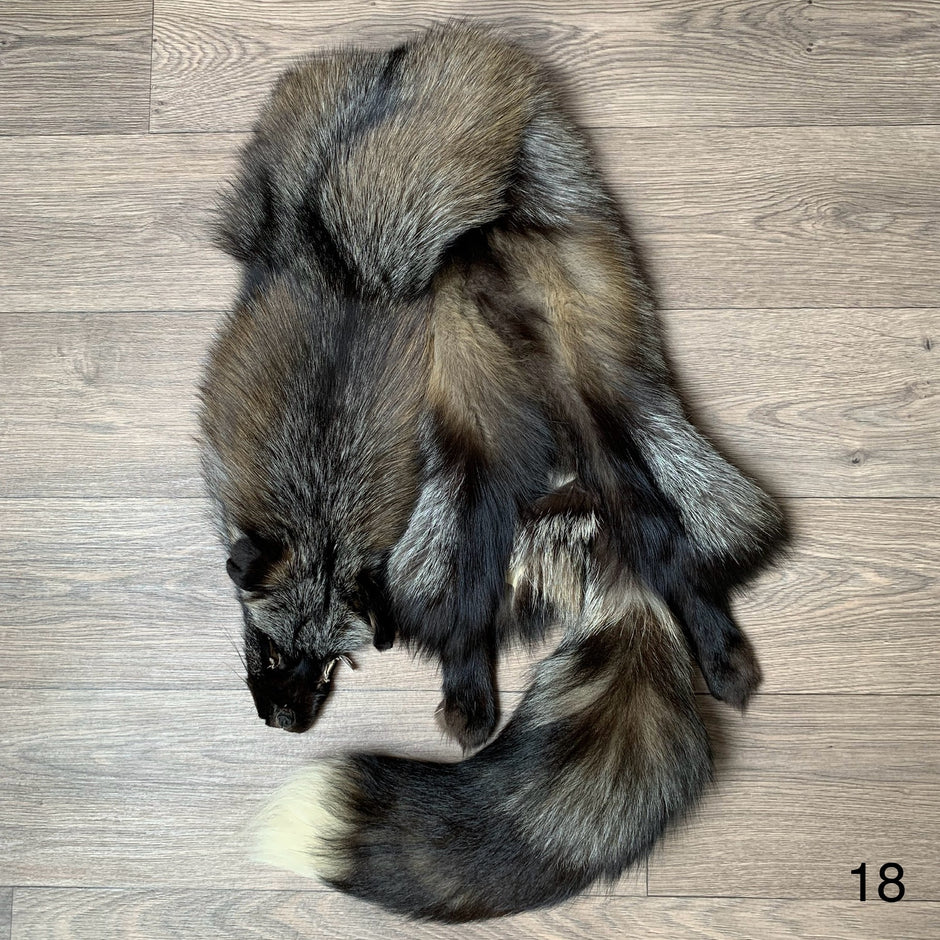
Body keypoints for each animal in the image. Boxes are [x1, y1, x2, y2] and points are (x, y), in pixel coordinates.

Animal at [197, 22, 785, 917]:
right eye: (273, 648)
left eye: (323, 660)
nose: (287, 727)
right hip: (576, 390)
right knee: (644, 519)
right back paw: (709, 650)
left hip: (489, 411)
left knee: (496, 568)